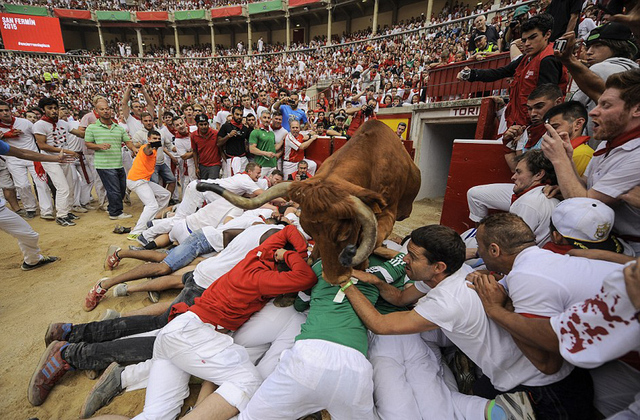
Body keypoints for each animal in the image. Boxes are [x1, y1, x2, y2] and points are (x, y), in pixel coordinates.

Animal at [198, 120, 422, 284]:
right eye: (311, 232)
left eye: (345, 233)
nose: (334, 279)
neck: (370, 161)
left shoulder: (388, 213)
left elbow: (372, 240)